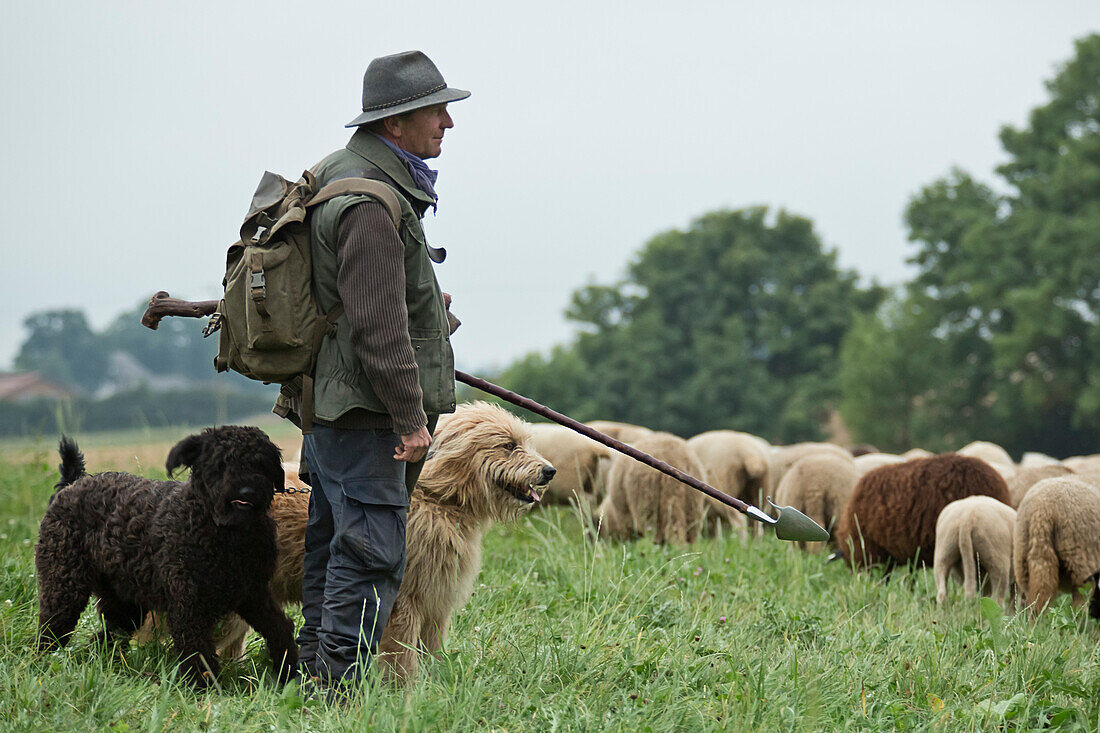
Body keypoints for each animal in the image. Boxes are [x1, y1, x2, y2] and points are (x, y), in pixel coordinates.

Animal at [36, 422, 299, 686]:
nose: (246, 491)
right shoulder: (189, 604)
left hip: (123, 599)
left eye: (260, 463)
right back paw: (43, 663)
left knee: (106, 636)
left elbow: (280, 628)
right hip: (64, 585)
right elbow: (198, 652)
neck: (224, 534)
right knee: (52, 630)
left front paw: (289, 672)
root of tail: (72, 484)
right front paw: (205, 689)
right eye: (222, 463)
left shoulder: (252, 593)